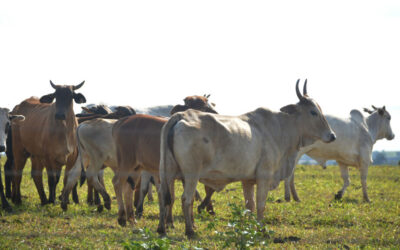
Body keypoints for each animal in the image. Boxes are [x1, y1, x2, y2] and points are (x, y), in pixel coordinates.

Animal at [158, 79, 336, 236]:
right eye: (313, 112)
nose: (332, 135)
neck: (280, 127)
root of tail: (181, 115)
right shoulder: (265, 176)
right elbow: (260, 205)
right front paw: (262, 231)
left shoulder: (248, 180)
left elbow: (250, 206)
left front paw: (251, 230)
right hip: (191, 174)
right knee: (186, 199)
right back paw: (190, 231)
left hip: (168, 172)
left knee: (164, 196)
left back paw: (162, 229)